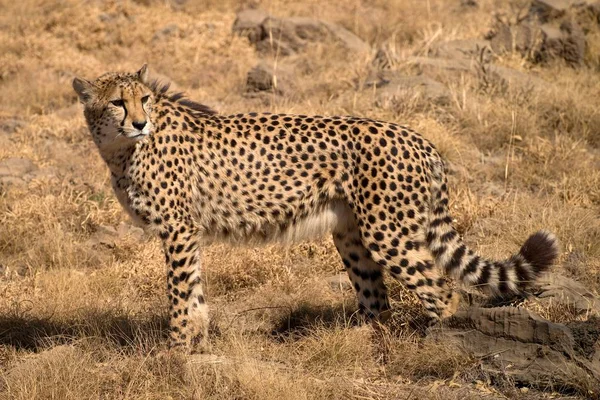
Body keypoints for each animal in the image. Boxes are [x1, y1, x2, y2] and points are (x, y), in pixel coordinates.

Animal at [72, 66, 560, 354]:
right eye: (118, 102)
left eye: (144, 99)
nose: (139, 122)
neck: (121, 149)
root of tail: (420, 138)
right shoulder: (185, 233)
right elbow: (195, 295)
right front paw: (198, 349)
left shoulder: (178, 229)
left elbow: (180, 294)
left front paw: (174, 353)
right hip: (351, 233)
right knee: (378, 299)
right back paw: (359, 340)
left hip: (389, 233)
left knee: (441, 288)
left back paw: (437, 346)